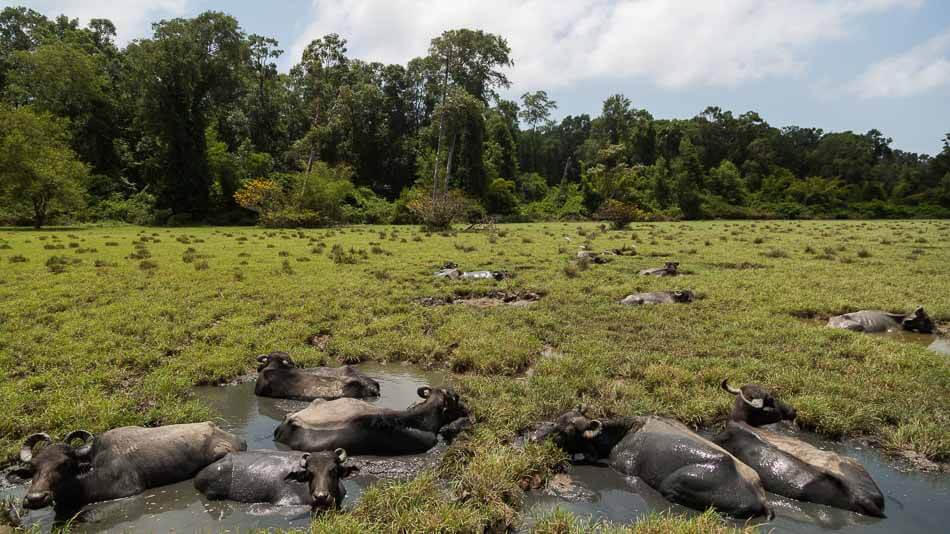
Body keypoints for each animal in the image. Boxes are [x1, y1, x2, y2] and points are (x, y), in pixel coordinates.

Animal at [532, 410, 768, 520]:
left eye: (566, 431)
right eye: (557, 420)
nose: (534, 437)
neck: (622, 435)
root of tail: (760, 495)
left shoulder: (624, 469)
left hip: (673, 484)